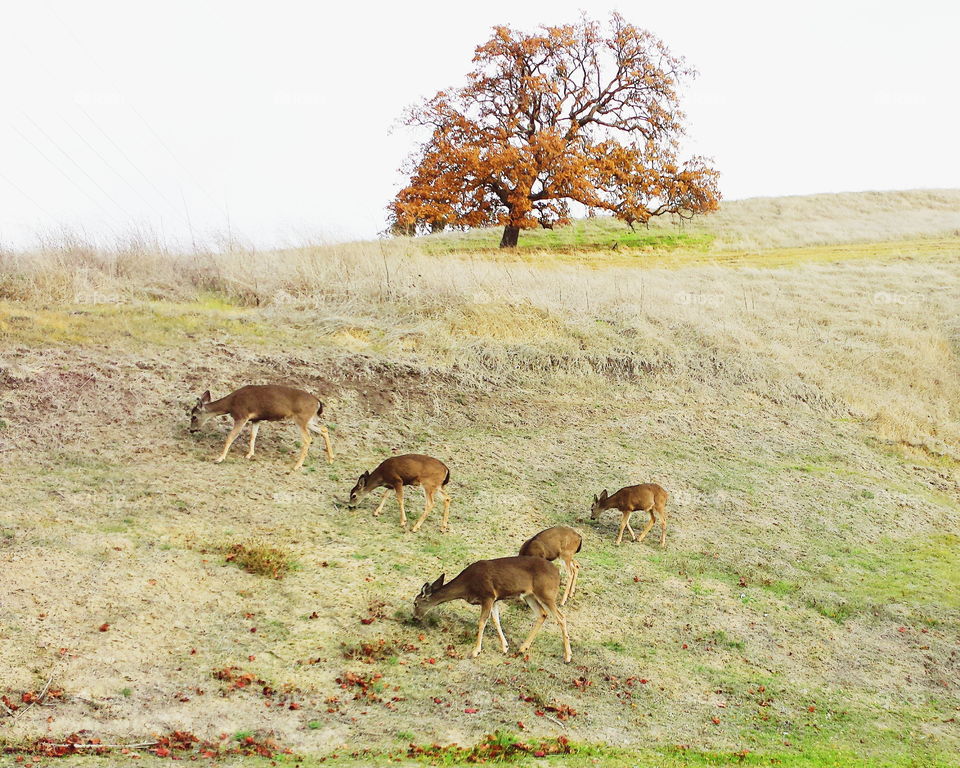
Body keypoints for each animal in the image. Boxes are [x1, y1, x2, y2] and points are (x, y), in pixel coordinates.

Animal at [189, 384, 334, 471]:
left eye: (194, 416)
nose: (191, 430)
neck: (231, 404)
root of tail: (318, 402)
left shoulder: (241, 415)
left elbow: (230, 437)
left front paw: (219, 459)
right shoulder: (256, 419)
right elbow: (253, 436)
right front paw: (249, 454)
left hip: (301, 418)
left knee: (308, 438)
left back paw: (297, 466)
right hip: (309, 420)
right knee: (324, 429)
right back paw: (331, 459)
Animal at [413, 556, 572, 663]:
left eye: (415, 603)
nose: (414, 618)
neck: (467, 586)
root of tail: (558, 573)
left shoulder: (488, 595)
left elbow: (482, 621)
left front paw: (475, 651)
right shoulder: (494, 599)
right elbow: (496, 620)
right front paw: (505, 647)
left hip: (546, 593)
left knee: (561, 617)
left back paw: (567, 657)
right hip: (530, 595)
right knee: (542, 614)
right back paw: (522, 648)